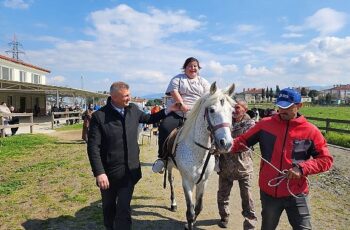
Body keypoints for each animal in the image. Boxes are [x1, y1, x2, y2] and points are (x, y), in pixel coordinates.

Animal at [166, 82, 235, 229]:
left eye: (232, 112)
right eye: (212, 110)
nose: (226, 143)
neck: (198, 152)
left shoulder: (203, 181)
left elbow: (198, 208)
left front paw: (191, 223)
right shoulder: (187, 182)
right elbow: (190, 211)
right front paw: (189, 223)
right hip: (168, 165)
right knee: (170, 181)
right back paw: (173, 204)